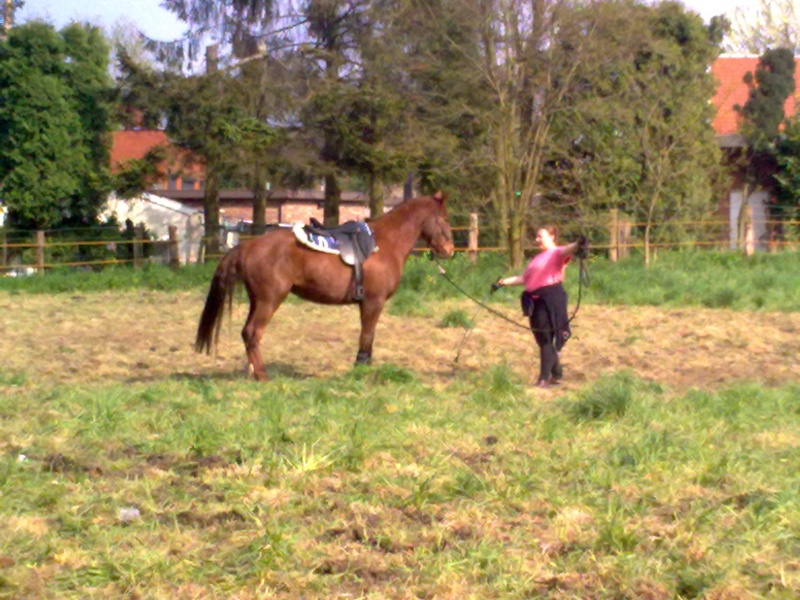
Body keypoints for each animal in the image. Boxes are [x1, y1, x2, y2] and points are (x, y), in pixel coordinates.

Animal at [195, 192, 454, 380]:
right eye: (444, 219)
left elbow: (367, 335)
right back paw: (262, 375)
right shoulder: (373, 302)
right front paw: (361, 368)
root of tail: (247, 246)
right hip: (270, 300)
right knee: (253, 332)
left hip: (257, 300)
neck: (385, 243)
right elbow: (367, 334)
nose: (449, 250)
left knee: (247, 333)